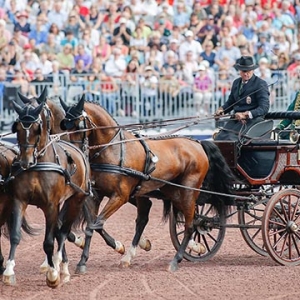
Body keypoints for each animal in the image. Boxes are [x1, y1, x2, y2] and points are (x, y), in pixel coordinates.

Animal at [3, 97, 91, 288]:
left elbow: (49, 242)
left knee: (63, 232)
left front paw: (52, 274)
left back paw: (59, 266)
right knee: (60, 231)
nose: (25, 162)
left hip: (76, 200)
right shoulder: (20, 200)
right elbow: (15, 236)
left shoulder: (51, 205)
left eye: (37, 128)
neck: (39, 163)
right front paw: (9, 271)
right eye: (17, 128)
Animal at [57, 95, 233, 272]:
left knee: (190, 226)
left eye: (79, 126)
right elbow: (90, 227)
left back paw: (176, 260)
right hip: (173, 192)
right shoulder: (95, 195)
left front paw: (117, 247)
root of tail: (198, 143)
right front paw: (82, 262)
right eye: (65, 127)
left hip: (188, 191)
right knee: (181, 220)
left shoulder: (120, 196)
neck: (113, 149)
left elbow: (97, 224)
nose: (75, 157)